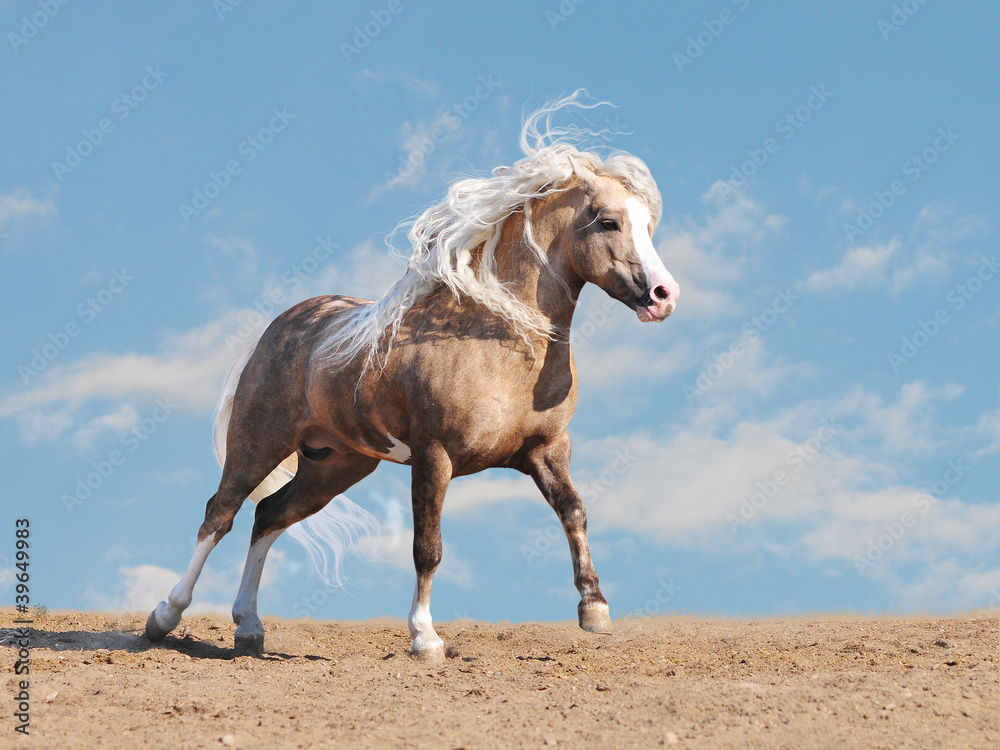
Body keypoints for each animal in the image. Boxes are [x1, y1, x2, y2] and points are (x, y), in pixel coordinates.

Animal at [145, 94, 680, 664]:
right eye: (608, 222)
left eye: (648, 226)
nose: (663, 296)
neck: (502, 343)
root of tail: (280, 328)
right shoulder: (434, 455)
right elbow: (429, 548)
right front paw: (425, 637)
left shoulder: (546, 450)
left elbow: (574, 512)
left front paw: (594, 609)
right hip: (259, 441)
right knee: (219, 514)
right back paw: (163, 617)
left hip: (335, 465)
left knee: (268, 515)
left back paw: (248, 627)